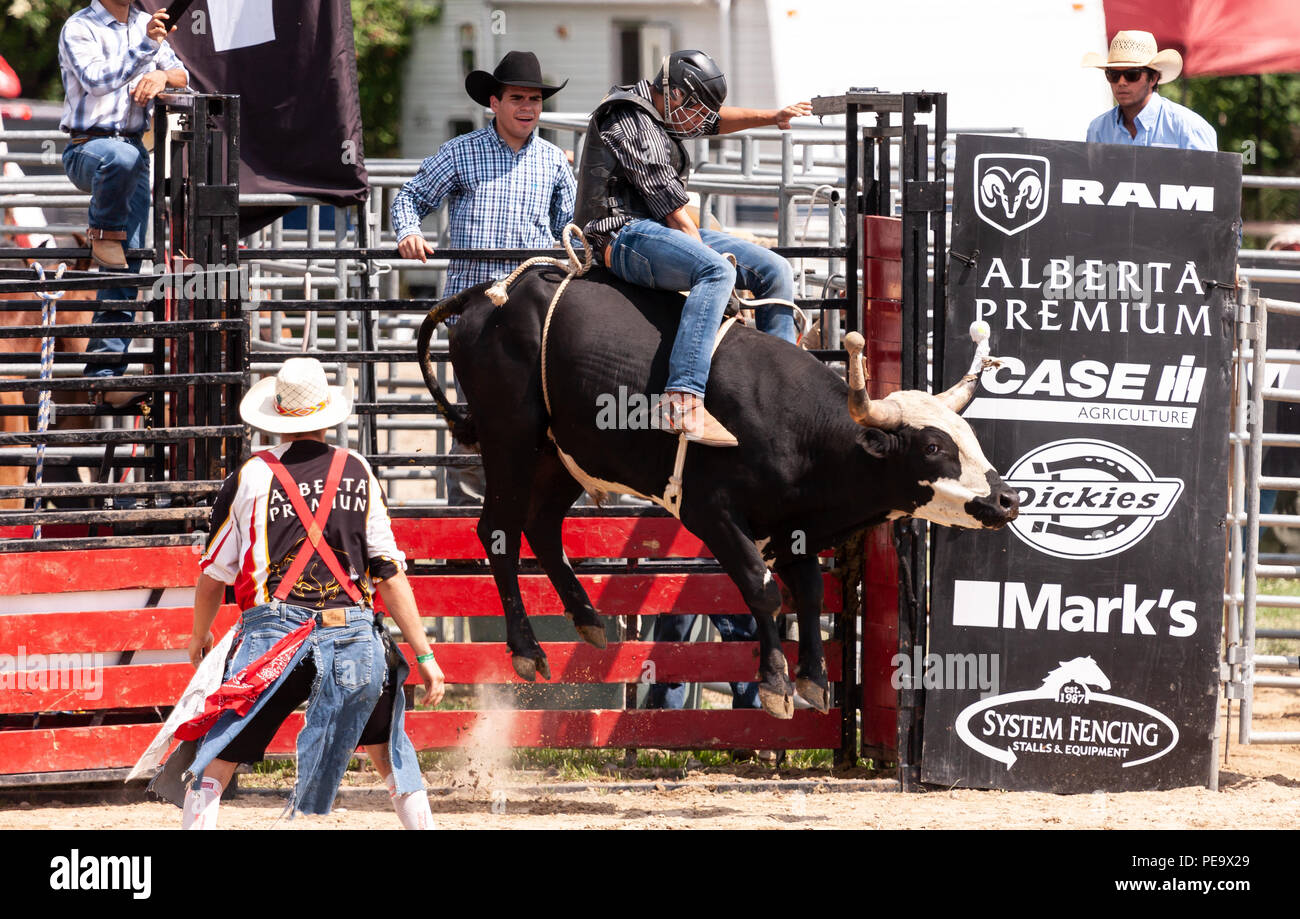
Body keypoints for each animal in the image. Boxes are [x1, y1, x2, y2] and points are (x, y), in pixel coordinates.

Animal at [416, 269, 1013, 722]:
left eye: (969, 435)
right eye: (933, 446)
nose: (1007, 499)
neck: (798, 428)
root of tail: (490, 296)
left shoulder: (795, 525)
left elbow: (810, 594)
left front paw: (814, 680)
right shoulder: (713, 512)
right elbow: (762, 589)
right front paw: (775, 685)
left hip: (562, 454)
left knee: (540, 525)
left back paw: (587, 619)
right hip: (510, 438)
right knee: (497, 532)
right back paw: (526, 650)